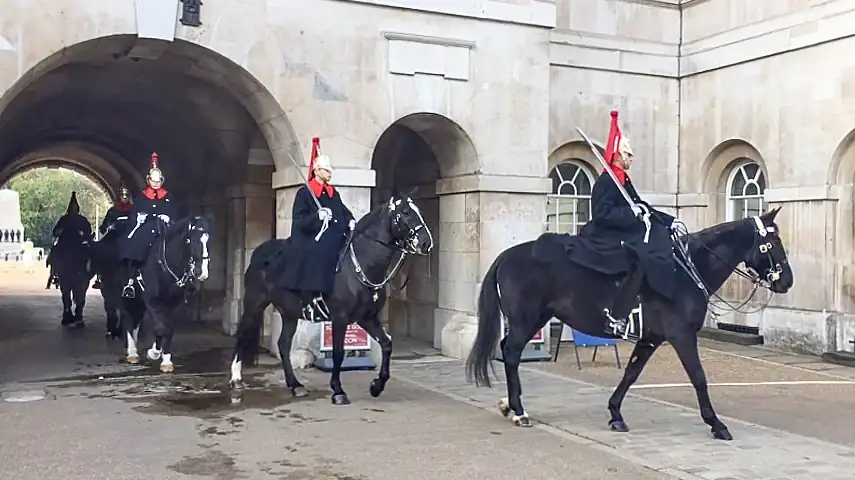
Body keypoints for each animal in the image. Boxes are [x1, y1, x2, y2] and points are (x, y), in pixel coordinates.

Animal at [119, 217, 213, 372]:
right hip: (128, 298)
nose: (202, 273)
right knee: (129, 319)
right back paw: (132, 353)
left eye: (208, 240)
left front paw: (166, 360)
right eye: (190, 240)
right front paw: (154, 353)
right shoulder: (152, 301)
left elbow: (168, 329)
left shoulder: (173, 304)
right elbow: (159, 327)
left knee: (136, 321)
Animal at [229, 190, 434, 404]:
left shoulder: (367, 318)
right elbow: (338, 352)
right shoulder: (340, 318)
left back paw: (295, 385)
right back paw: (236, 379)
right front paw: (338, 390)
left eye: (418, 211)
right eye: (405, 212)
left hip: (289, 313)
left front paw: (376, 386)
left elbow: (387, 344)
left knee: (283, 345)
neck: (360, 266)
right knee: (242, 334)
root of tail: (260, 252)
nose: (427, 243)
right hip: (255, 303)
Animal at [468, 208, 796, 440]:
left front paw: (615, 413)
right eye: (772, 242)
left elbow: (631, 373)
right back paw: (519, 411)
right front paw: (716, 423)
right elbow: (699, 377)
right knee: (511, 353)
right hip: (526, 320)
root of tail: (506, 255)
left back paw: (510, 405)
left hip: (535, 318)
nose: (788, 282)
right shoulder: (681, 336)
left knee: (508, 352)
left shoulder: (651, 338)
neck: (686, 270)